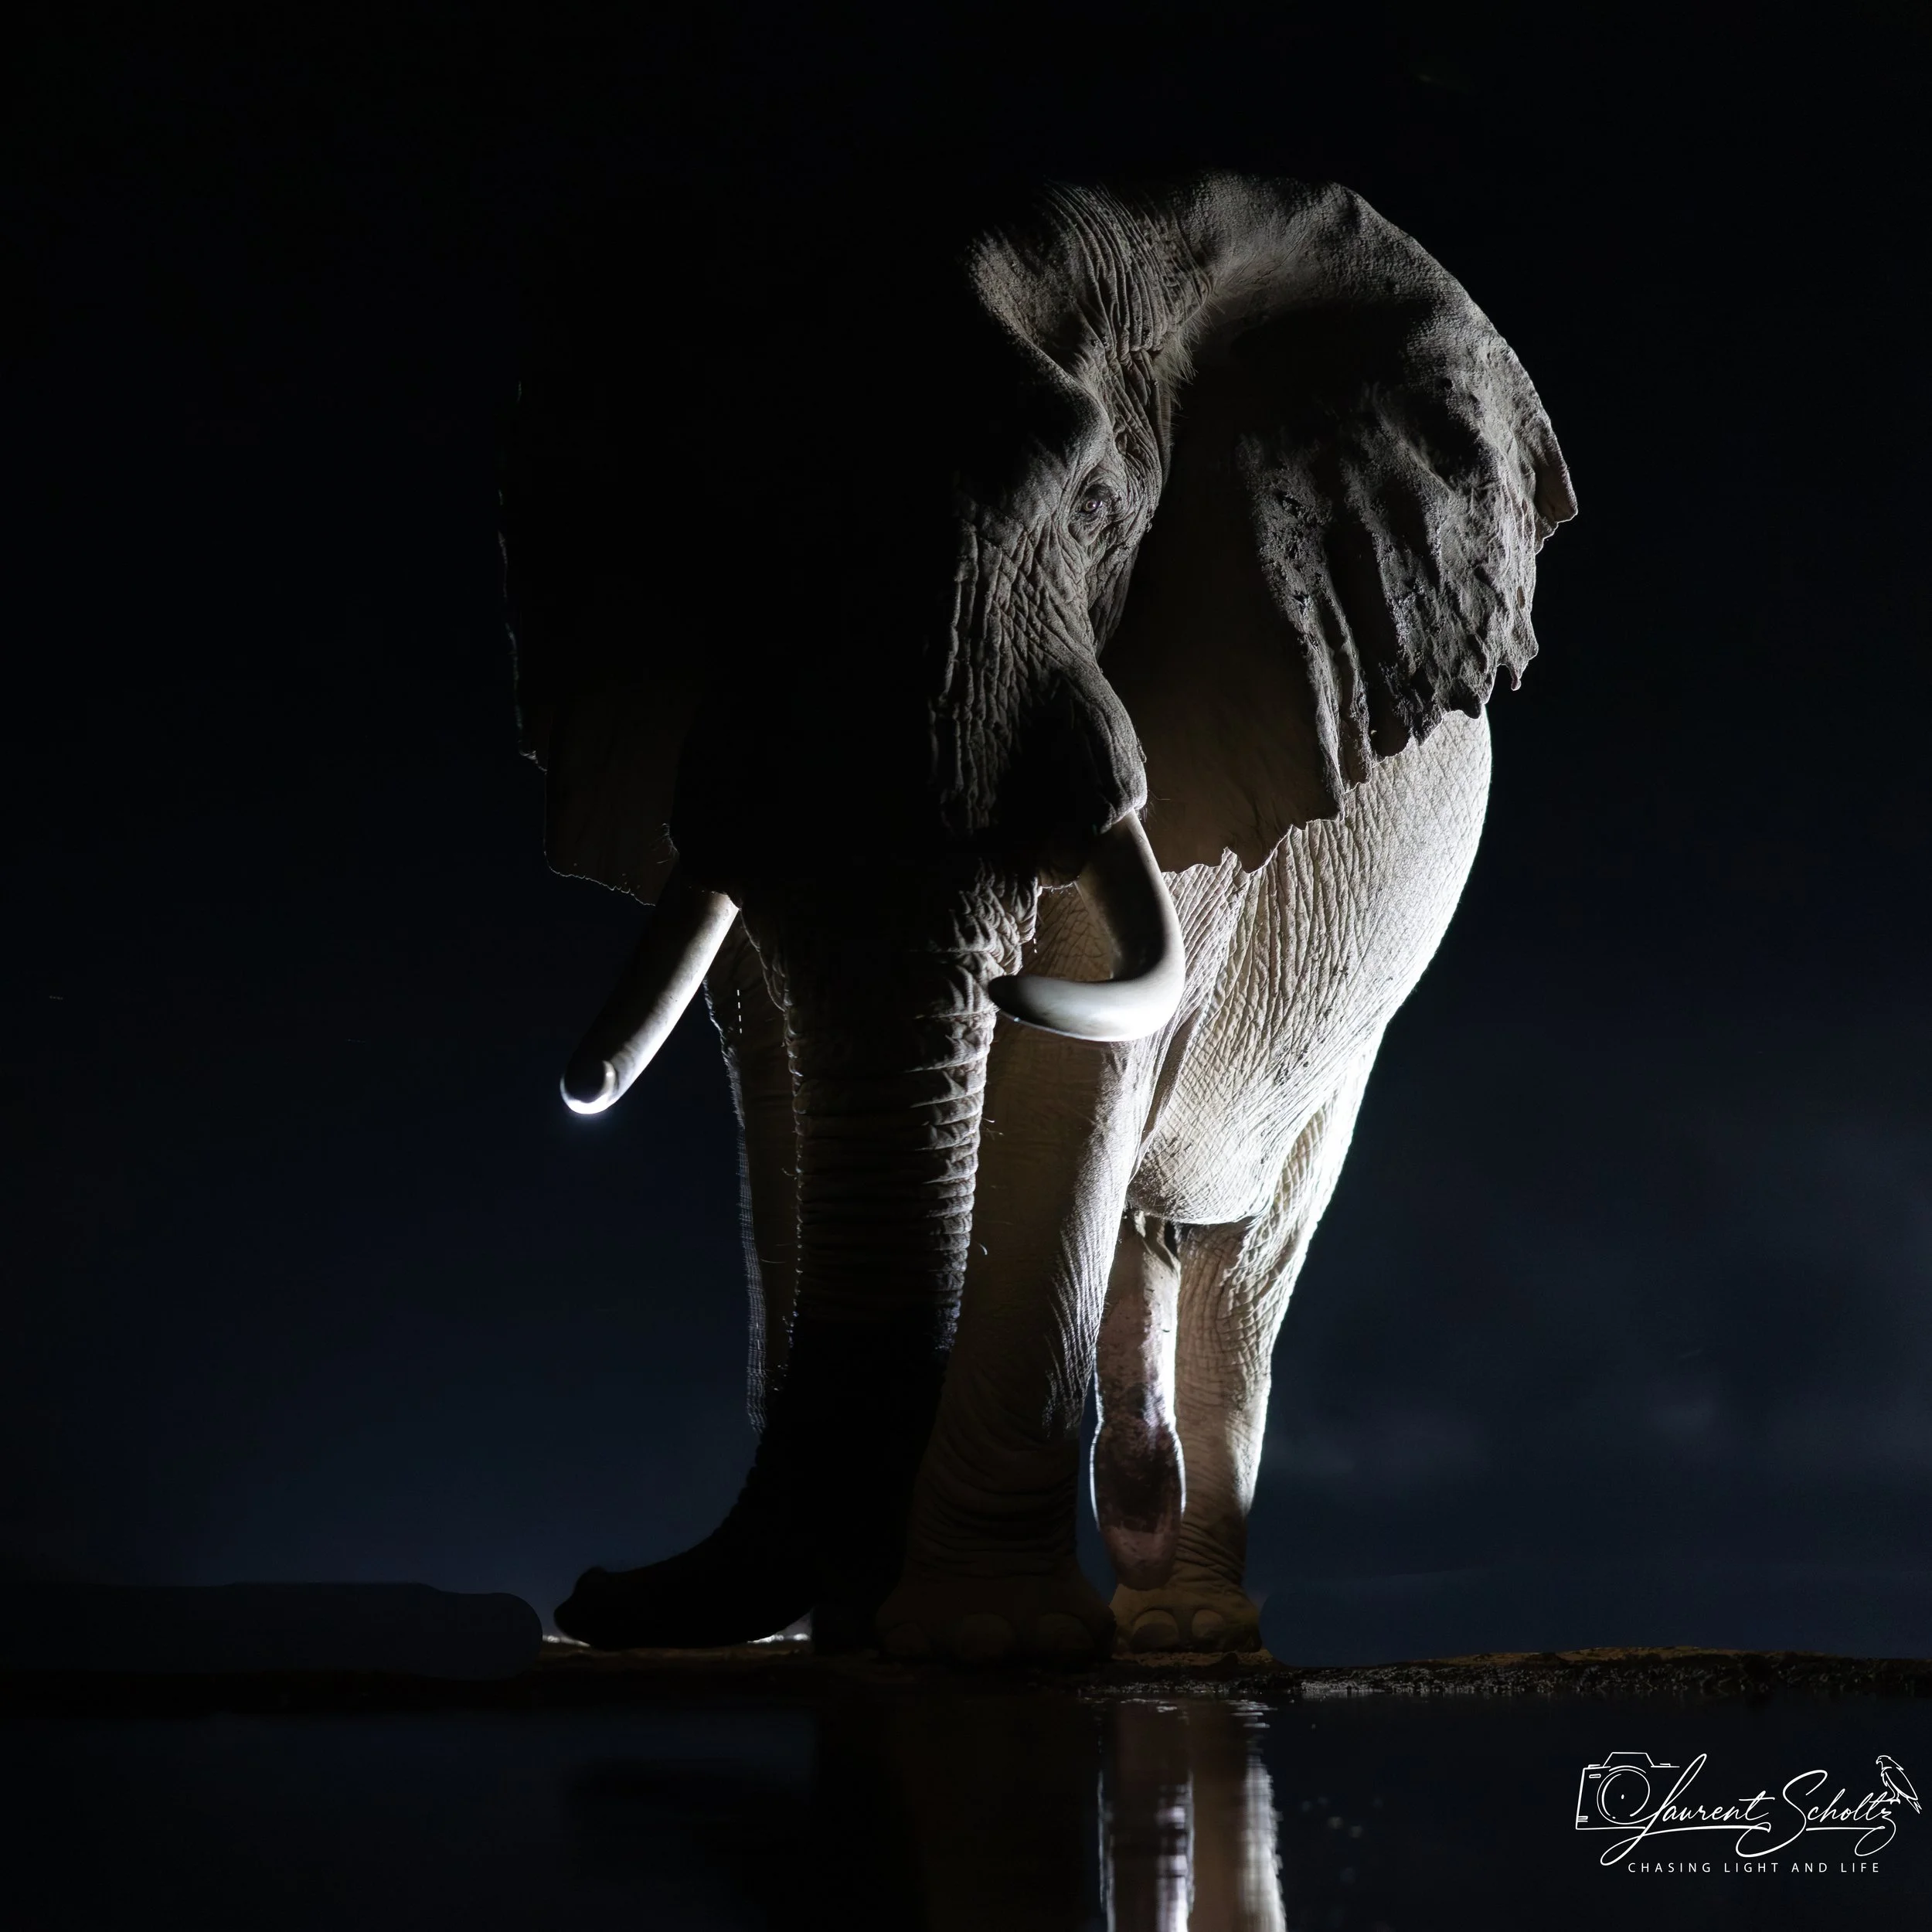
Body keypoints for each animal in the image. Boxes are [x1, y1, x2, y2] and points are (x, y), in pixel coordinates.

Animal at [505, 173, 1574, 1665]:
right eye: (711, 526)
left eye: (1098, 511)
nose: (592, 1598)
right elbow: (779, 1059)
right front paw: (865, 1629)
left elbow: (1080, 1052)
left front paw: (983, 1639)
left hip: (1356, 1015)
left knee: (1243, 1248)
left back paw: (1184, 1626)